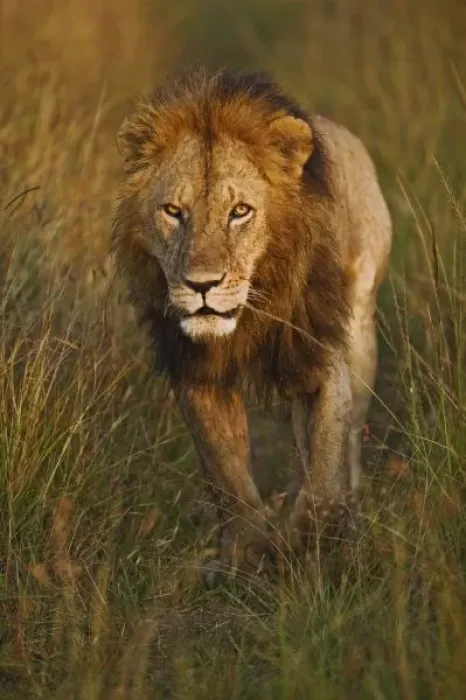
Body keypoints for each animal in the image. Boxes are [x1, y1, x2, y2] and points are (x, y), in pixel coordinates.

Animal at [111, 67, 393, 581]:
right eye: (174, 212)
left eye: (239, 211)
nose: (202, 285)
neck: (250, 314)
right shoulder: (196, 372)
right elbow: (228, 475)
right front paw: (246, 552)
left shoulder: (320, 356)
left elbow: (324, 476)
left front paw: (301, 541)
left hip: (362, 330)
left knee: (349, 445)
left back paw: (350, 518)